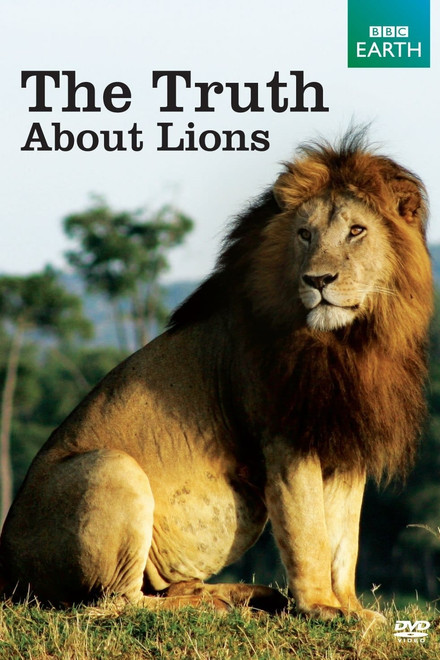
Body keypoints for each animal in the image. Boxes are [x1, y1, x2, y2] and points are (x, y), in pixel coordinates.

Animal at [0, 129, 433, 621]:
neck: (350, 342)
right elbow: (310, 534)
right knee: (119, 603)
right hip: (111, 467)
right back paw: (221, 607)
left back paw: (244, 595)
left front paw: (353, 609)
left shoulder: (344, 438)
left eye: (356, 231)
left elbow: (345, 539)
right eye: (304, 234)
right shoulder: (284, 439)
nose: (318, 280)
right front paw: (320, 608)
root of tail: (7, 569)